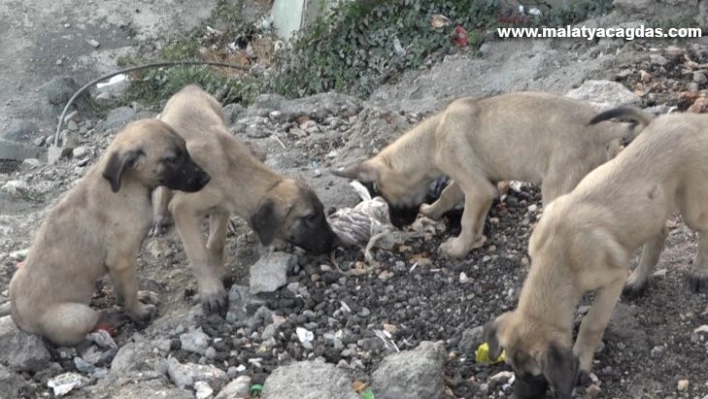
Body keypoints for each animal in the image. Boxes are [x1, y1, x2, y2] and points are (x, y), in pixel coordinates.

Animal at [9, 119, 210, 346]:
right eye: (172, 159)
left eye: (185, 149)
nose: (206, 178)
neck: (127, 185)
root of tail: (20, 321)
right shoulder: (121, 261)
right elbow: (128, 292)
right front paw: (139, 312)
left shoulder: (119, 266)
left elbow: (124, 290)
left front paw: (140, 298)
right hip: (77, 315)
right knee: (92, 320)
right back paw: (111, 316)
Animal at [151, 85, 338, 318]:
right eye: (310, 217)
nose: (336, 242)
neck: (230, 170)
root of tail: (188, 88)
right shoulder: (183, 209)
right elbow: (199, 254)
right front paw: (212, 291)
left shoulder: (222, 206)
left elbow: (216, 242)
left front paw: (219, 271)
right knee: (163, 189)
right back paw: (159, 217)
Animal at [332, 91, 652, 260]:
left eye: (384, 194)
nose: (398, 225)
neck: (433, 137)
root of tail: (605, 128)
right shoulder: (477, 180)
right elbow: (448, 194)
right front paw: (433, 211)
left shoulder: (478, 188)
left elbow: (465, 219)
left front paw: (458, 247)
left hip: (556, 186)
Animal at [484, 109, 708, 399]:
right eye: (511, 367)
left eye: (537, 375)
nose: (518, 396)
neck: (557, 254)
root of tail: (687, 118)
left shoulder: (612, 279)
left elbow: (592, 323)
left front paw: (582, 360)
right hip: (652, 209)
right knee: (660, 233)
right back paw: (640, 278)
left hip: (692, 205)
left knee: (703, 230)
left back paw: (699, 271)